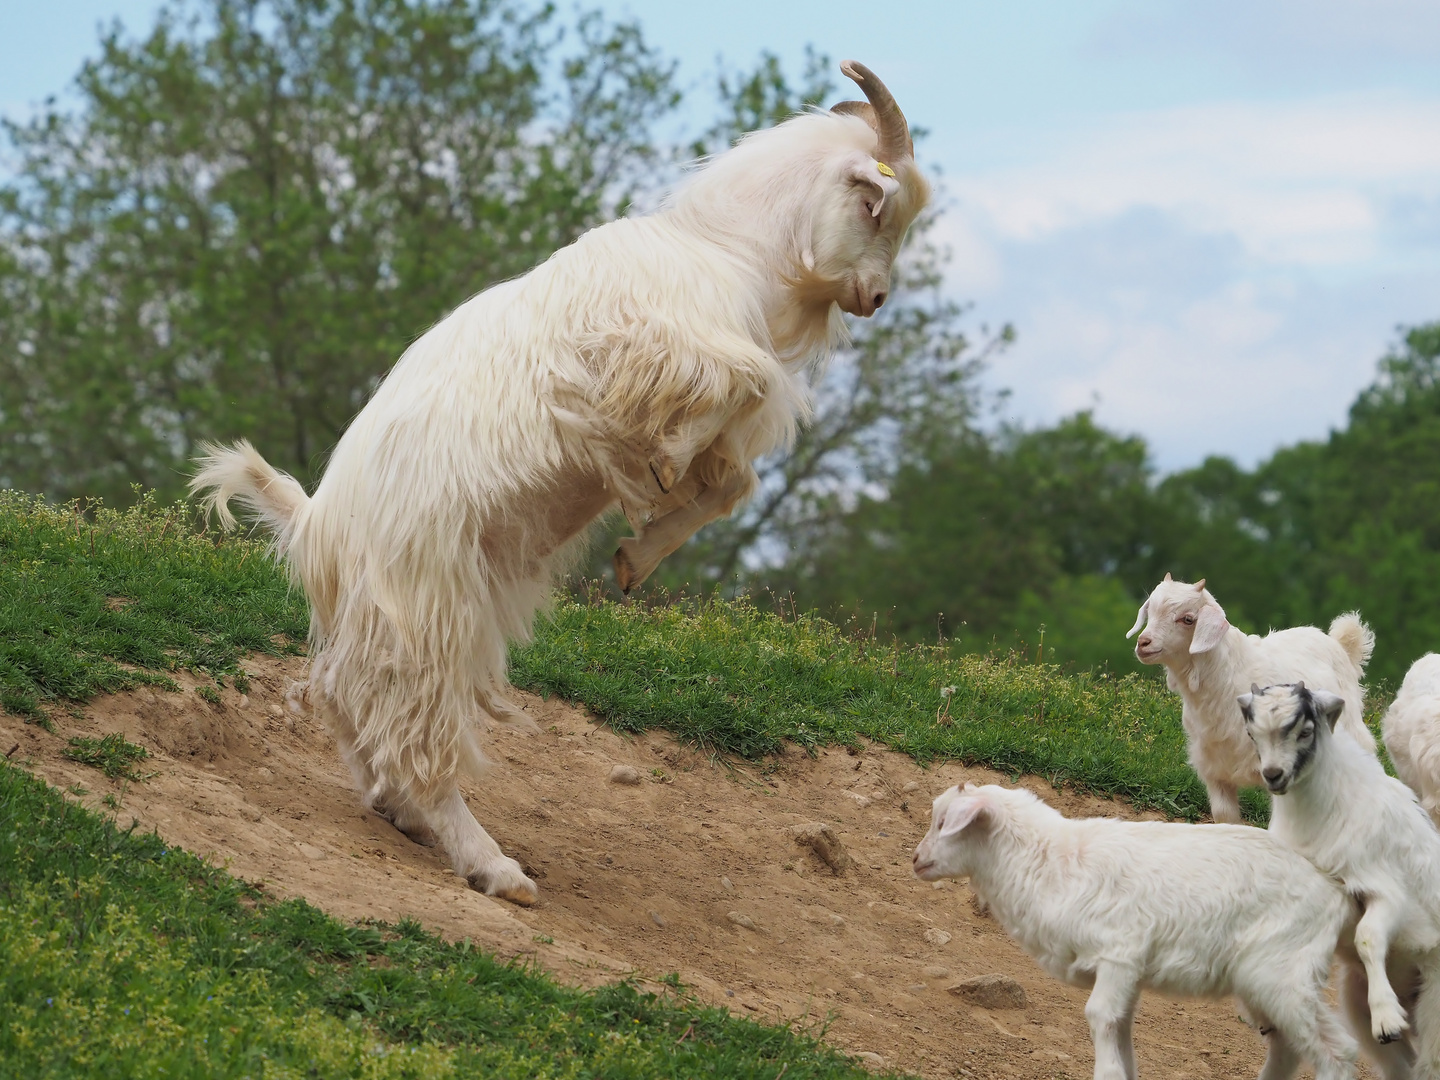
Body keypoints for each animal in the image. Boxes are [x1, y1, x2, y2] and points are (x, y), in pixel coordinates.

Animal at [188, 59, 933, 904]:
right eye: (877, 209)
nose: (875, 300)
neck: (724, 248)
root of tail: (315, 526)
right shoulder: (661, 348)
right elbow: (738, 385)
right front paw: (664, 465)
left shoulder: (708, 407)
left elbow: (732, 484)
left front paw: (637, 556)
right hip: (428, 605)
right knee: (414, 731)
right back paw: (491, 865)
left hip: (418, 610)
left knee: (356, 703)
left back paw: (396, 810)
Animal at [915, 789, 1353, 1080]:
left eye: (944, 823)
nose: (915, 860)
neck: (1049, 864)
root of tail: (1335, 894)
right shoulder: (1128, 974)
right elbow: (1121, 1031)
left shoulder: (1119, 954)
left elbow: (1099, 1017)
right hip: (1264, 981)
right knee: (1288, 1048)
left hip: (1282, 971)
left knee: (1337, 1051)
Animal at [1123, 578, 1370, 823]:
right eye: (1150, 612)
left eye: (1188, 619)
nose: (1143, 643)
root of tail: (1341, 645)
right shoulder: (1215, 770)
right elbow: (1224, 817)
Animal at [1238, 685, 1440, 1080]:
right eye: (1252, 733)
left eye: (1305, 731)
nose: (1273, 775)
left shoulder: (1385, 890)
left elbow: (1368, 937)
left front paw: (1387, 1020)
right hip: (1354, 1000)